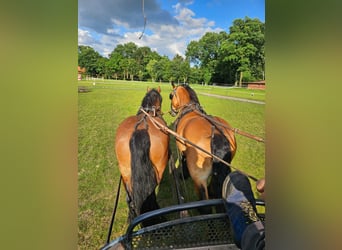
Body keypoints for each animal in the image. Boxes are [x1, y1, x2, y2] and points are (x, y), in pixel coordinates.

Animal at [114, 86, 169, 227]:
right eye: (161, 99)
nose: (160, 112)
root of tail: (141, 128)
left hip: (125, 172)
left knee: (130, 199)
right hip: (158, 169)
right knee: (151, 194)